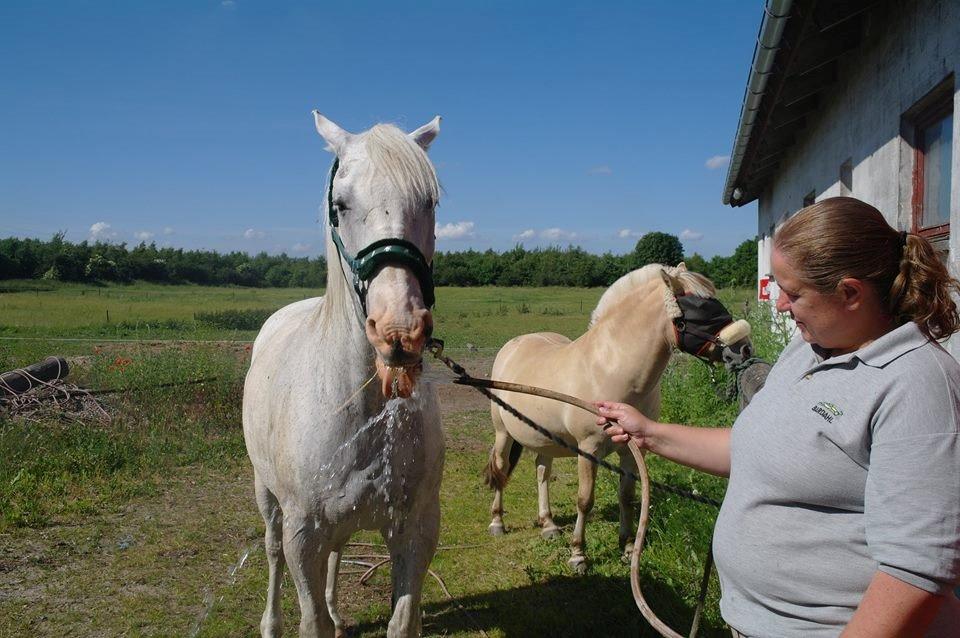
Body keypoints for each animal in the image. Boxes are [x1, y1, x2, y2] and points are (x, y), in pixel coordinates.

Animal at [246, 112, 444, 636]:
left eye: (430, 201)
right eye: (340, 204)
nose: (399, 331)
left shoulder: (417, 529)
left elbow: (402, 620)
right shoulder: (303, 536)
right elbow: (310, 619)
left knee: (338, 553)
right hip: (266, 494)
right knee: (271, 553)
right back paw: (270, 622)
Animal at [488, 264, 752, 576]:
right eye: (700, 308)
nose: (744, 349)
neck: (608, 369)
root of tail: (514, 345)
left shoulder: (631, 448)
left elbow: (626, 495)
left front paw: (627, 548)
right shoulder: (588, 449)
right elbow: (585, 500)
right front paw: (578, 555)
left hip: (544, 438)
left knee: (542, 471)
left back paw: (549, 525)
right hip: (503, 433)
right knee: (501, 468)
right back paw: (497, 522)